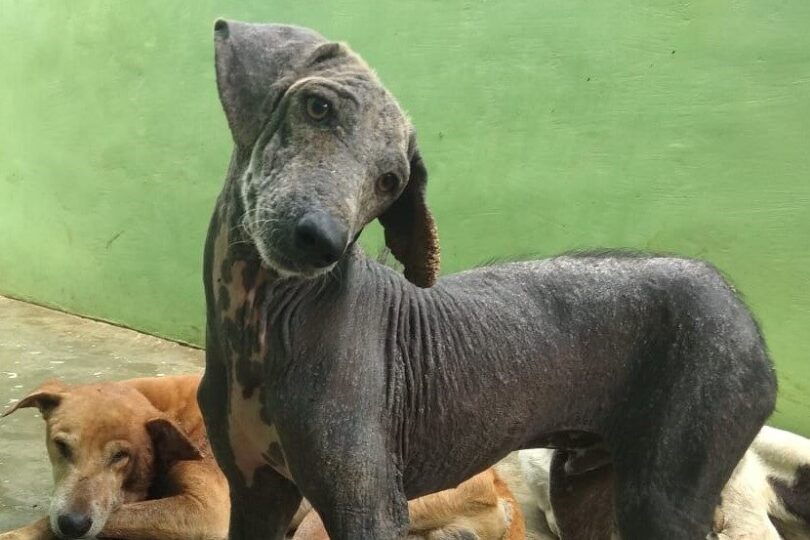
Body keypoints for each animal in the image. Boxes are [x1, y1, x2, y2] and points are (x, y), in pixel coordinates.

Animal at [197, 20, 776, 540]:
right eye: (318, 107)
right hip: (581, 487)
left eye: (390, 182)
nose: (323, 241)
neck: (261, 318)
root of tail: (735, 302)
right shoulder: (256, 495)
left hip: (662, 498)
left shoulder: (369, 511)